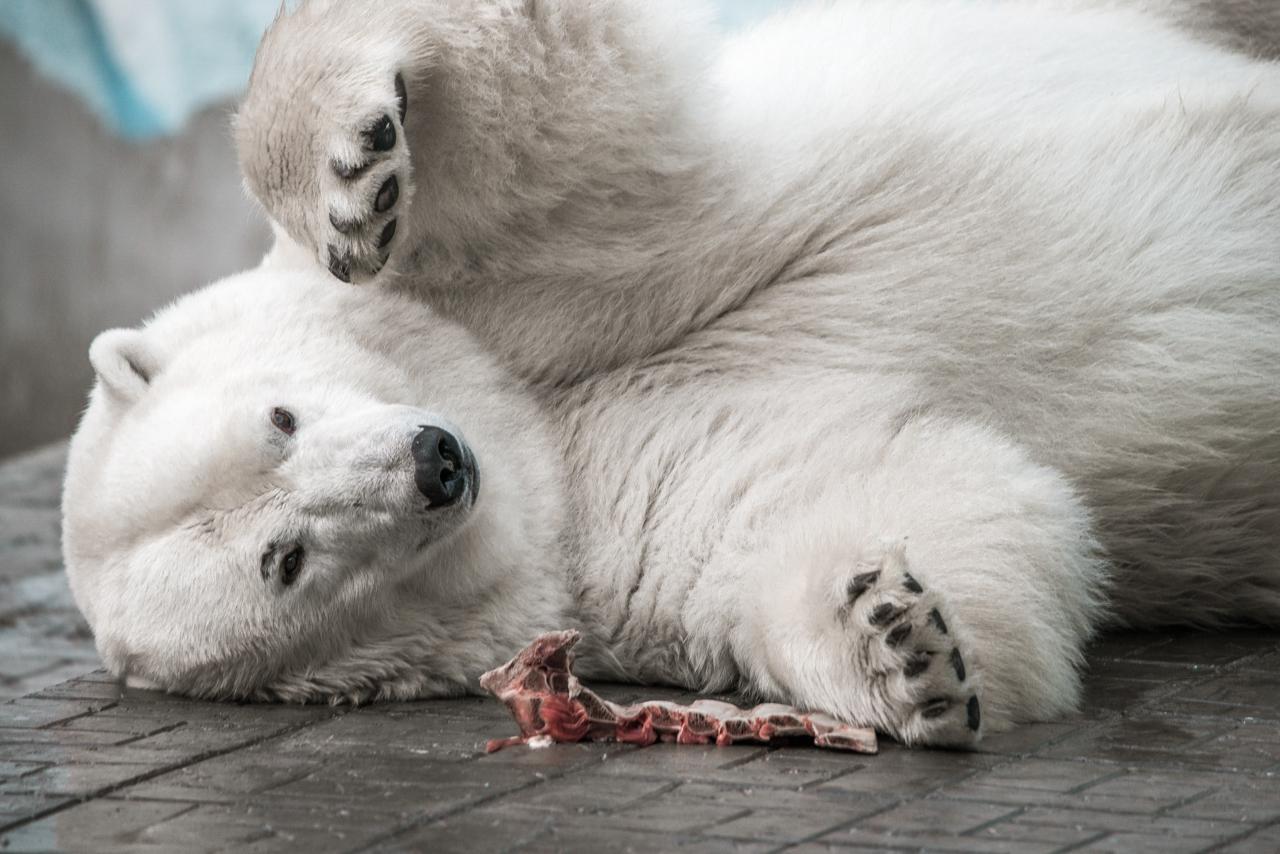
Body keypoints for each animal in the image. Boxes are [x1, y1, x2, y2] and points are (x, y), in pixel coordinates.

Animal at [60, 0, 1280, 747]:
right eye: (287, 560)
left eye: (281, 415)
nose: (434, 463)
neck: (533, 427)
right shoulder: (610, 538)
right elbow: (897, 508)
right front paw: (898, 642)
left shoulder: (523, 289)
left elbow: (552, 122)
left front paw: (351, 176)